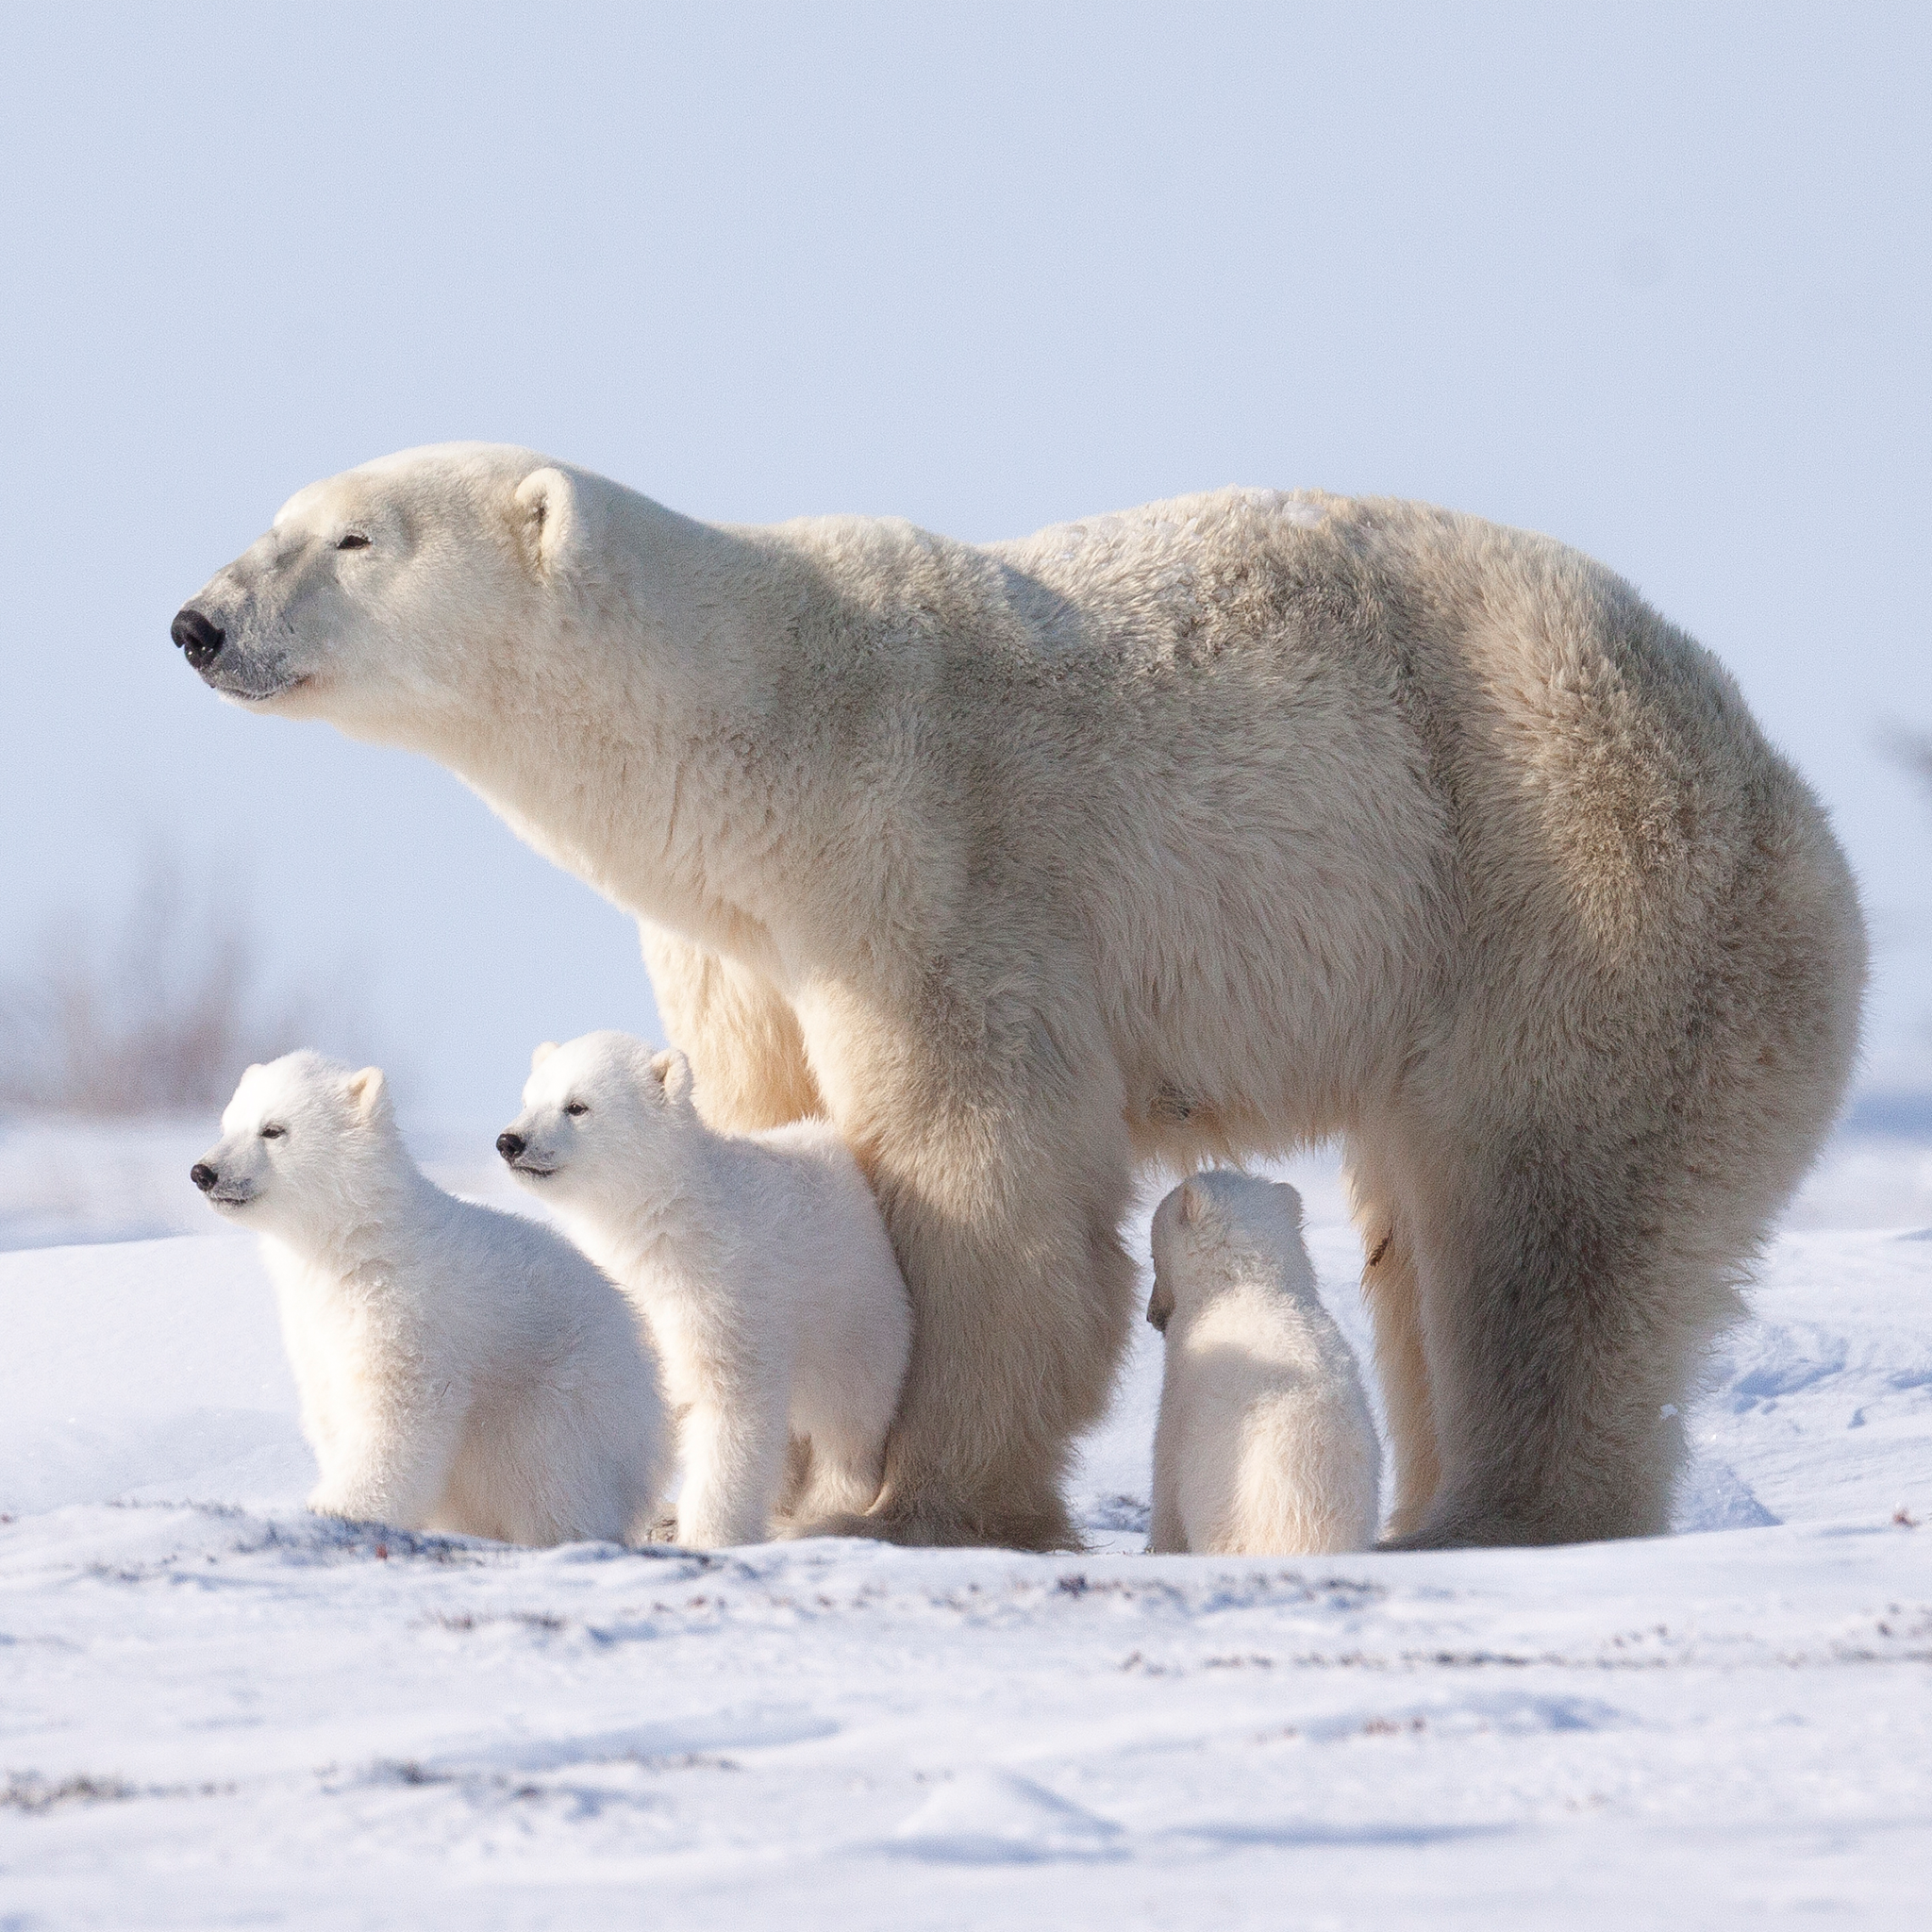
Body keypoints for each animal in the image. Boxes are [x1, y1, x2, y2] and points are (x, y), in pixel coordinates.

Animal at [192, 1049, 669, 1547]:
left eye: (273, 1129)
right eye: (228, 1123)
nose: (203, 1172)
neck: (359, 1244)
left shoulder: (403, 1315)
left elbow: (395, 1414)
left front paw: (337, 1506)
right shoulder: (315, 1328)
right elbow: (331, 1408)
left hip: (562, 1392)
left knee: (553, 1475)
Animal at [495, 1030, 912, 1548]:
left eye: (577, 1105)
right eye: (528, 1098)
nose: (510, 1141)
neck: (663, 1218)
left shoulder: (720, 1295)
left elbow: (728, 1410)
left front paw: (710, 1536)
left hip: (853, 1313)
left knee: (846, 1422)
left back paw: (825, 1508)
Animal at [1145, 1172, 1380, 1556]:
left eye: (1153, 1258)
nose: (1151, 1316)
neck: (1248, 1281)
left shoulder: (1185, 1380)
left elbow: (1166, 1463)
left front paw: (1160, 1547)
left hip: (1229, 1501)